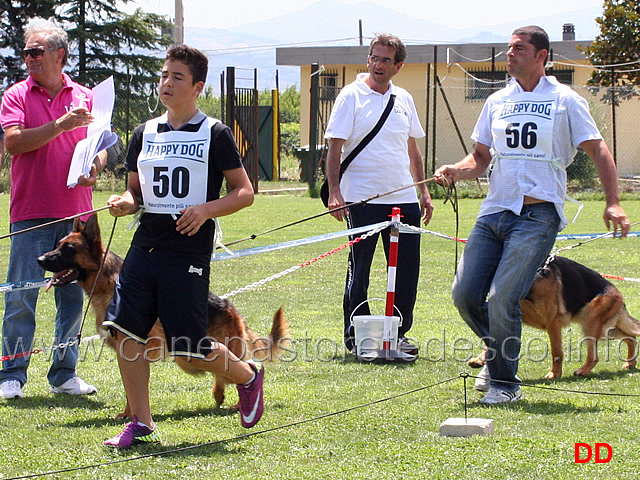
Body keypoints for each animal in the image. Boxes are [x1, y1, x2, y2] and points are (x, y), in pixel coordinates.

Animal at [36, 214, 292, 416]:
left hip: (192, 354)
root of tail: (232, 310)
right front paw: (130, 414)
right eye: (58, 245)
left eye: (68, 249)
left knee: (242, 367)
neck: (106, 282)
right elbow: (131, 386)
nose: (39, 259)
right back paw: (221, 395)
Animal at [464, 255, 640, 378]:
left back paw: (583, 370)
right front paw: (480, 359)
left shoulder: (552, 323)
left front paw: (555, 374)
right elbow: (492, 341)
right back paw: (630, 363)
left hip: (591, 325)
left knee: (595, 355)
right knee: (631, 337)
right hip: (607, 330)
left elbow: (557, 352)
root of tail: (618, 294)